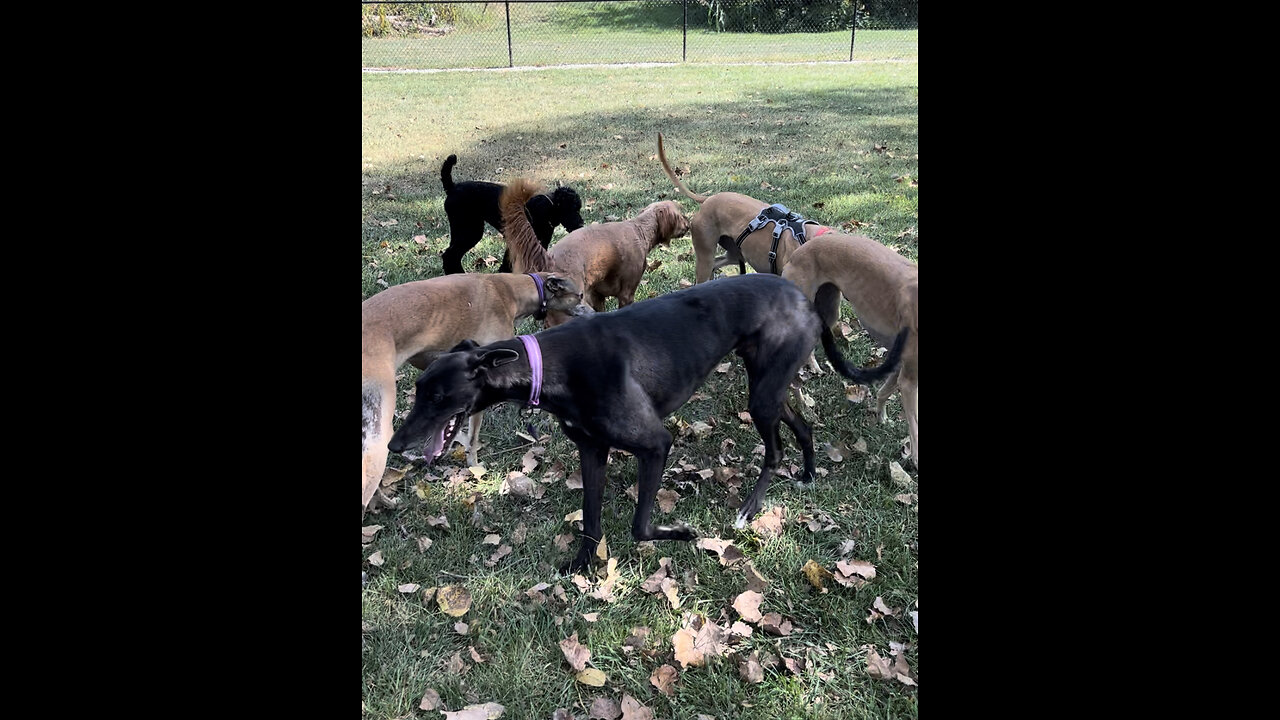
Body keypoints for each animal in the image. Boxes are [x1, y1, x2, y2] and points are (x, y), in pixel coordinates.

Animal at [363, 270, 586, 515]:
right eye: (580, 295)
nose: (594, 313)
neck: (508, 289)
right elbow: (472, 438)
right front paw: (474, 465)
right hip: (379, 437)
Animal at [437, 152, 583, 272]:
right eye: (570, 209)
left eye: (578, 208)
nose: (581, 224)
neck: (548, 207)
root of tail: (452, 188)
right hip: (469, 230)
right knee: (450, 255)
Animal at [499, 178, 691, 324]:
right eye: (680, 215)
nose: (689, 225)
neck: (639, 229)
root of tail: (547, 258)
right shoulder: (627, 293)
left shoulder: (597, 295)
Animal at [778, 235, 921, 468]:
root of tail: (798, 251)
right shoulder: (910, 381)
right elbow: (915, 425)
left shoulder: (899, 366)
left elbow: (884, 391)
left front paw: (882, 418)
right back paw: (803, 405)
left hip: (827, 310)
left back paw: (814, 370)